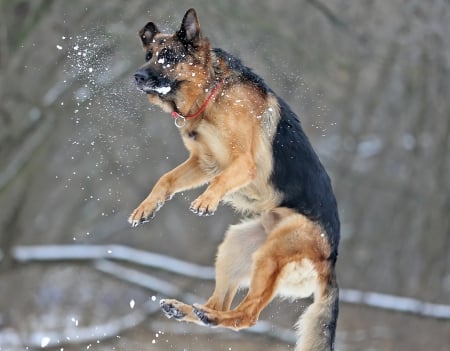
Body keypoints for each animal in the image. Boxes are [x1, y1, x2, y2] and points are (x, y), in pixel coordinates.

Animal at [128, 8, 340, 351]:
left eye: (169, 56)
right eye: (148, 55)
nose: (137, 76)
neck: (211, 91)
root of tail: (331, 262)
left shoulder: (242, 163)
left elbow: (220, 181)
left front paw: (206, 201)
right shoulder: (203, 163)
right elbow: (166, 180)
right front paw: (146, 207)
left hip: (271, 255)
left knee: (246, 315)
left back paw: (213, 317)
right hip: (236, 245)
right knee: (221, 302)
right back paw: (190, 310)